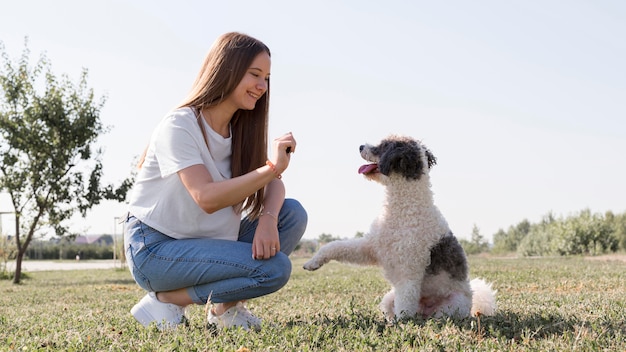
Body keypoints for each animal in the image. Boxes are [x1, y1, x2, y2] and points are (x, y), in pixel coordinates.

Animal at [304, 135, 498, 322]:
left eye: (383, 146)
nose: (360, 146)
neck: (404, 208)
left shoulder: (409, 271)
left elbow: (405, 305)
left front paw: (401, 325)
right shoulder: (371, 247)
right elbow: (336, 246)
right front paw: (313, 262)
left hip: (451, 306)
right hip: (389, 299)